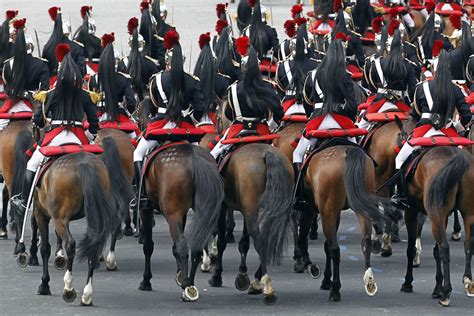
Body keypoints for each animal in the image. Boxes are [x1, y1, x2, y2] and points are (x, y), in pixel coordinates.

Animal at [138, 143, 225, 302]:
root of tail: (193, 158)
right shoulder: (182, 213)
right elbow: (174, 248)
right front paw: (180, 274)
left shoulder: (145, 210)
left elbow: (148, 246)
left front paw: (146, 280)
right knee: (195, 246)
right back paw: (190, 283)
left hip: (172, 214)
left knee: (182, 245)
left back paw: (187, 287)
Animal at [400, 147, 474, 308]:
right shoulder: (443, 217)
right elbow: (435, 251)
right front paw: (437, 288)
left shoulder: (411, 212)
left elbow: (411, 249)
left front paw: (408, 282)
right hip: (467, 213)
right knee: (468, 245)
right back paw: (468, 282)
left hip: (435, 214)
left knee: (445, 248)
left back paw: (446, 293)